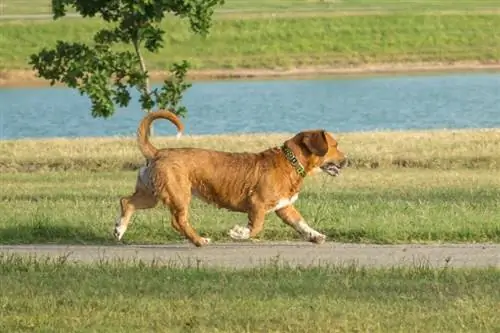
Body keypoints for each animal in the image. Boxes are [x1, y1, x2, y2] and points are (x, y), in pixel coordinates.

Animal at [114, 109, 348, 246]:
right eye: (335, 145)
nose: (348, 160)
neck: (290, 162)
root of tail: (158, 152)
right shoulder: (257, 204)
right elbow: (255, 228)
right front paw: (238, 233)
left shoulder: (285, 207)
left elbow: (301, 223)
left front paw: (315, 236)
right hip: (179, 194)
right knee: (178, 221)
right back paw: (199, 240)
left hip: (151, 194)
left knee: (127, 202)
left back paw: (119, 229)